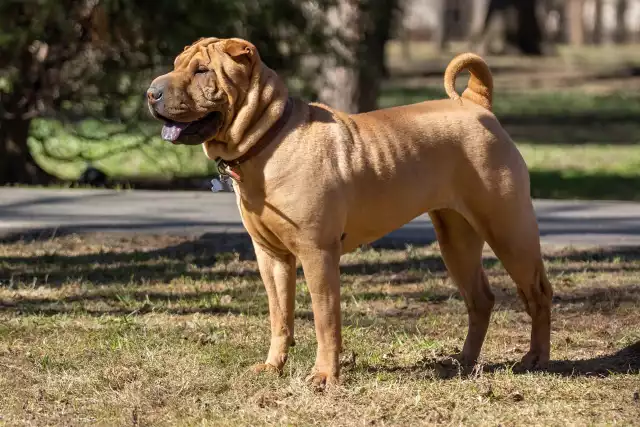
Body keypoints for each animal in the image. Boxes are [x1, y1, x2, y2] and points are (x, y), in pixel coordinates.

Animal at [148, 37, 552, 388]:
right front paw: (273, 367)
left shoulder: (318, 254)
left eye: (202, 71)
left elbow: (325, 320)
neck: (268, 140)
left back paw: (536, 359)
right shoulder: (271, 256)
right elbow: (280, 317)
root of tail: (475, 103)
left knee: (538, 293)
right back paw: (464, 361)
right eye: (176, 65)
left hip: (508, 230)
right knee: (480, 299)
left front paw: (324, 376)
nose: (151, 92)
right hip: (456, 240)